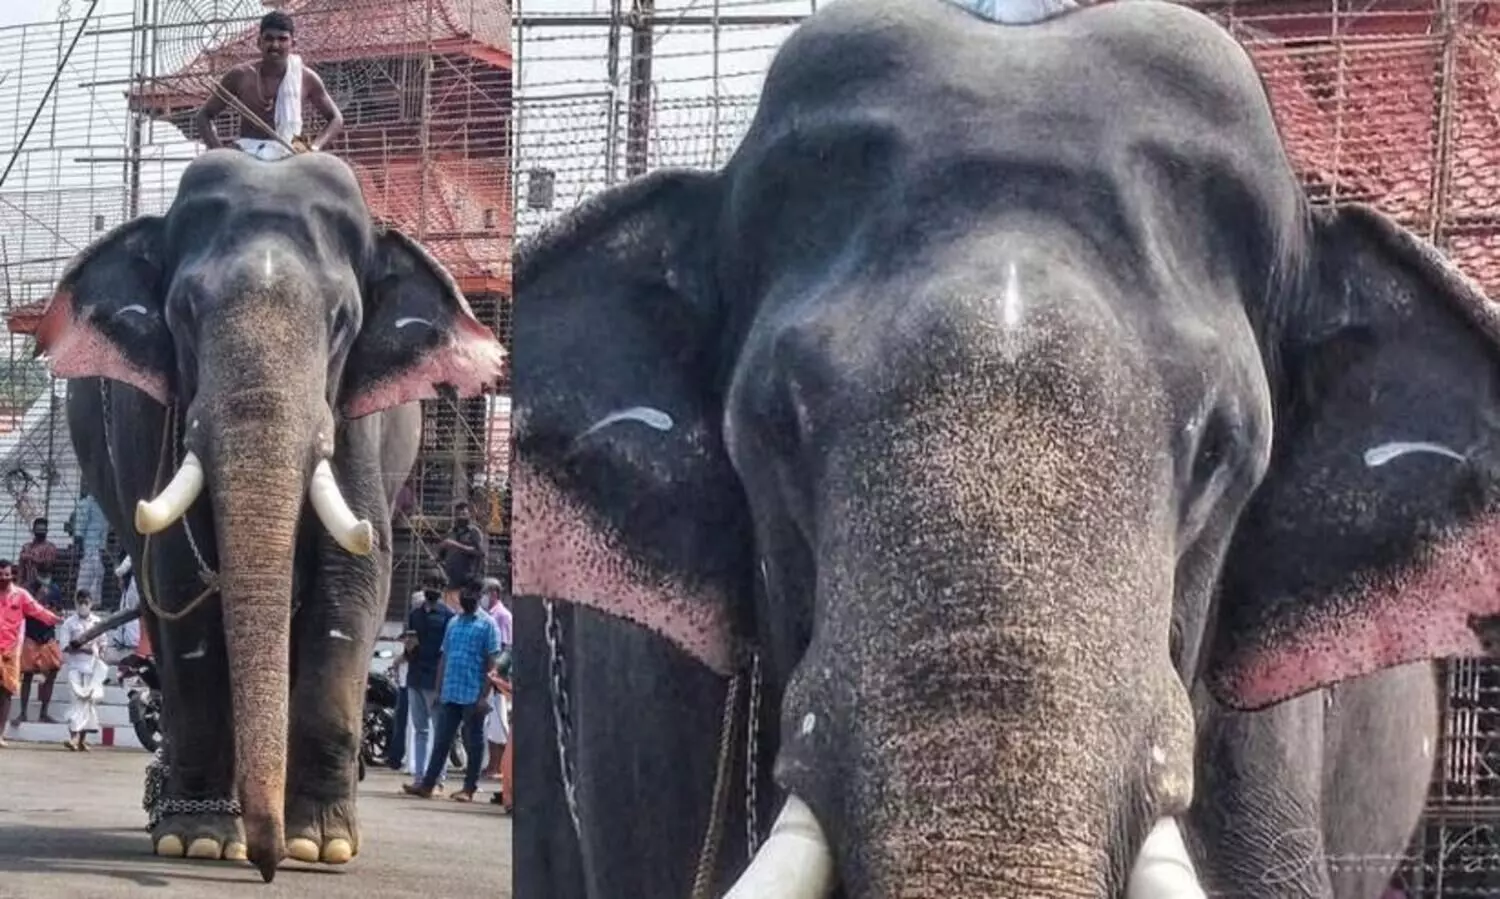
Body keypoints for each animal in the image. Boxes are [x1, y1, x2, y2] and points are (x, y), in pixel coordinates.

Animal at [35, 148, 506, 881]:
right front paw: (199, 840)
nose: (265, 865)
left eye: (342, 321)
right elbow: (184, 580)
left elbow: (354, 580)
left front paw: (319, 845)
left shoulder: (359, 421)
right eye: (184, 312)